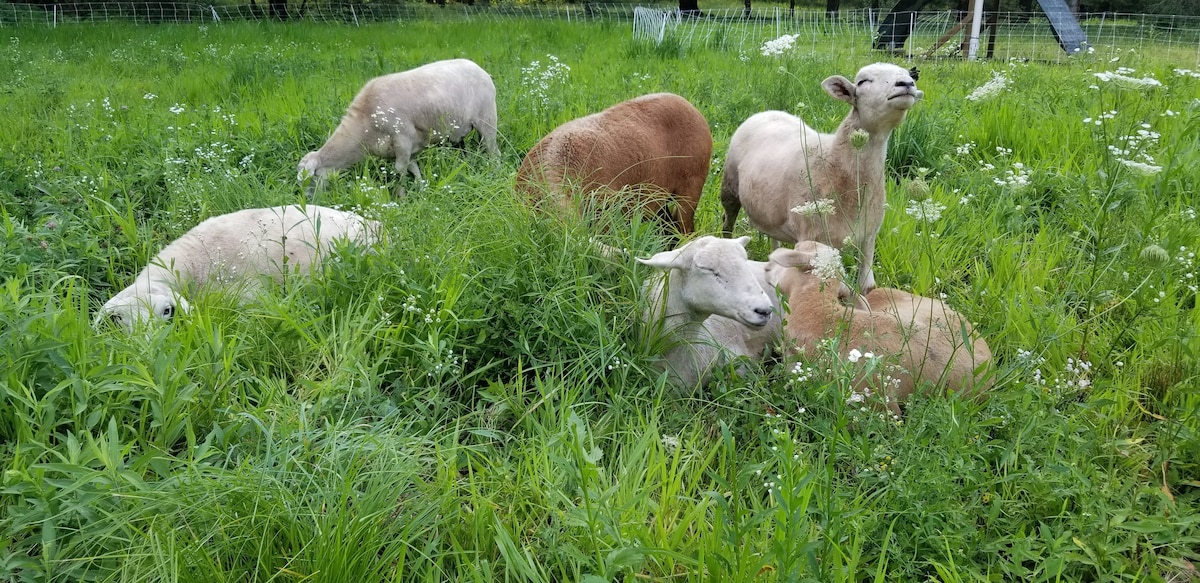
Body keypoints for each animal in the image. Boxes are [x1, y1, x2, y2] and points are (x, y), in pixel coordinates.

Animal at [715, 62, 921, 296]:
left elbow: (866, 286)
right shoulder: (812, 237)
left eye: (910, 75)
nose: (906, 84)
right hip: (729, 187)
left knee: (773, 237)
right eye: (862, 81)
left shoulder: (869, 237)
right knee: (728, 221)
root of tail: (766, 112)